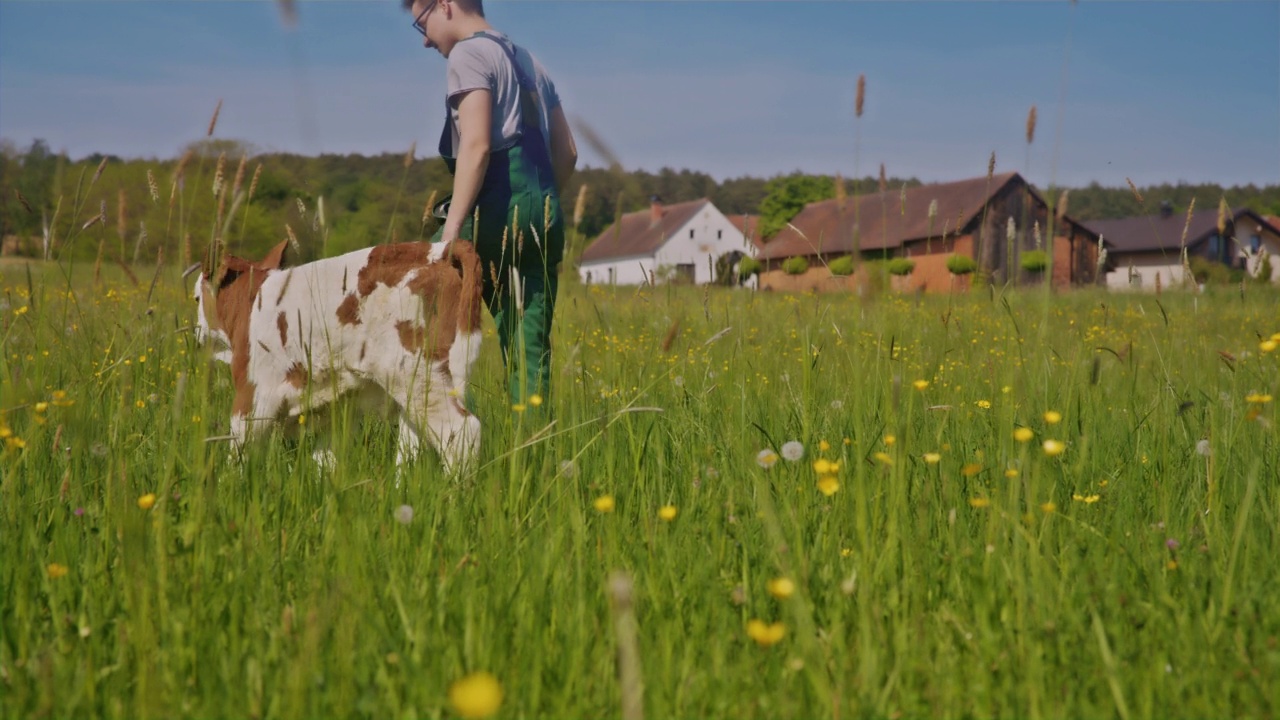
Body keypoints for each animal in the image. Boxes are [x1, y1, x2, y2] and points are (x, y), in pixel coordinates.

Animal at [194, 237, 483, 471]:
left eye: (196, 298)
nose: (197, 334)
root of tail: (437, 251)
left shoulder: (251, 395)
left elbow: (239, 451)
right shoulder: (334, 409)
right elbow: (326, 462)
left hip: (418, 374)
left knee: (461, 432)